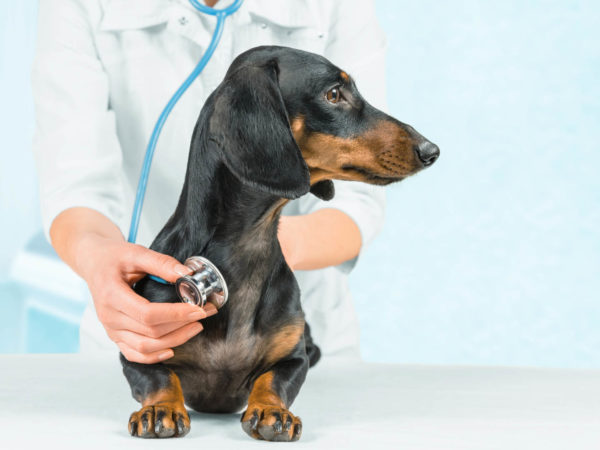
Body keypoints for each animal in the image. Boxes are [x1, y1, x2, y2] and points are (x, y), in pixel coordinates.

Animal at [123, 44, 440, 440]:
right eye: (333, 94)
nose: (432, 150)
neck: (247, 249)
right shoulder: (138, 347)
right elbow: (159, 377)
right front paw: (159, 407)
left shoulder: (293, 359)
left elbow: (272, 381)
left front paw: (273, 411)